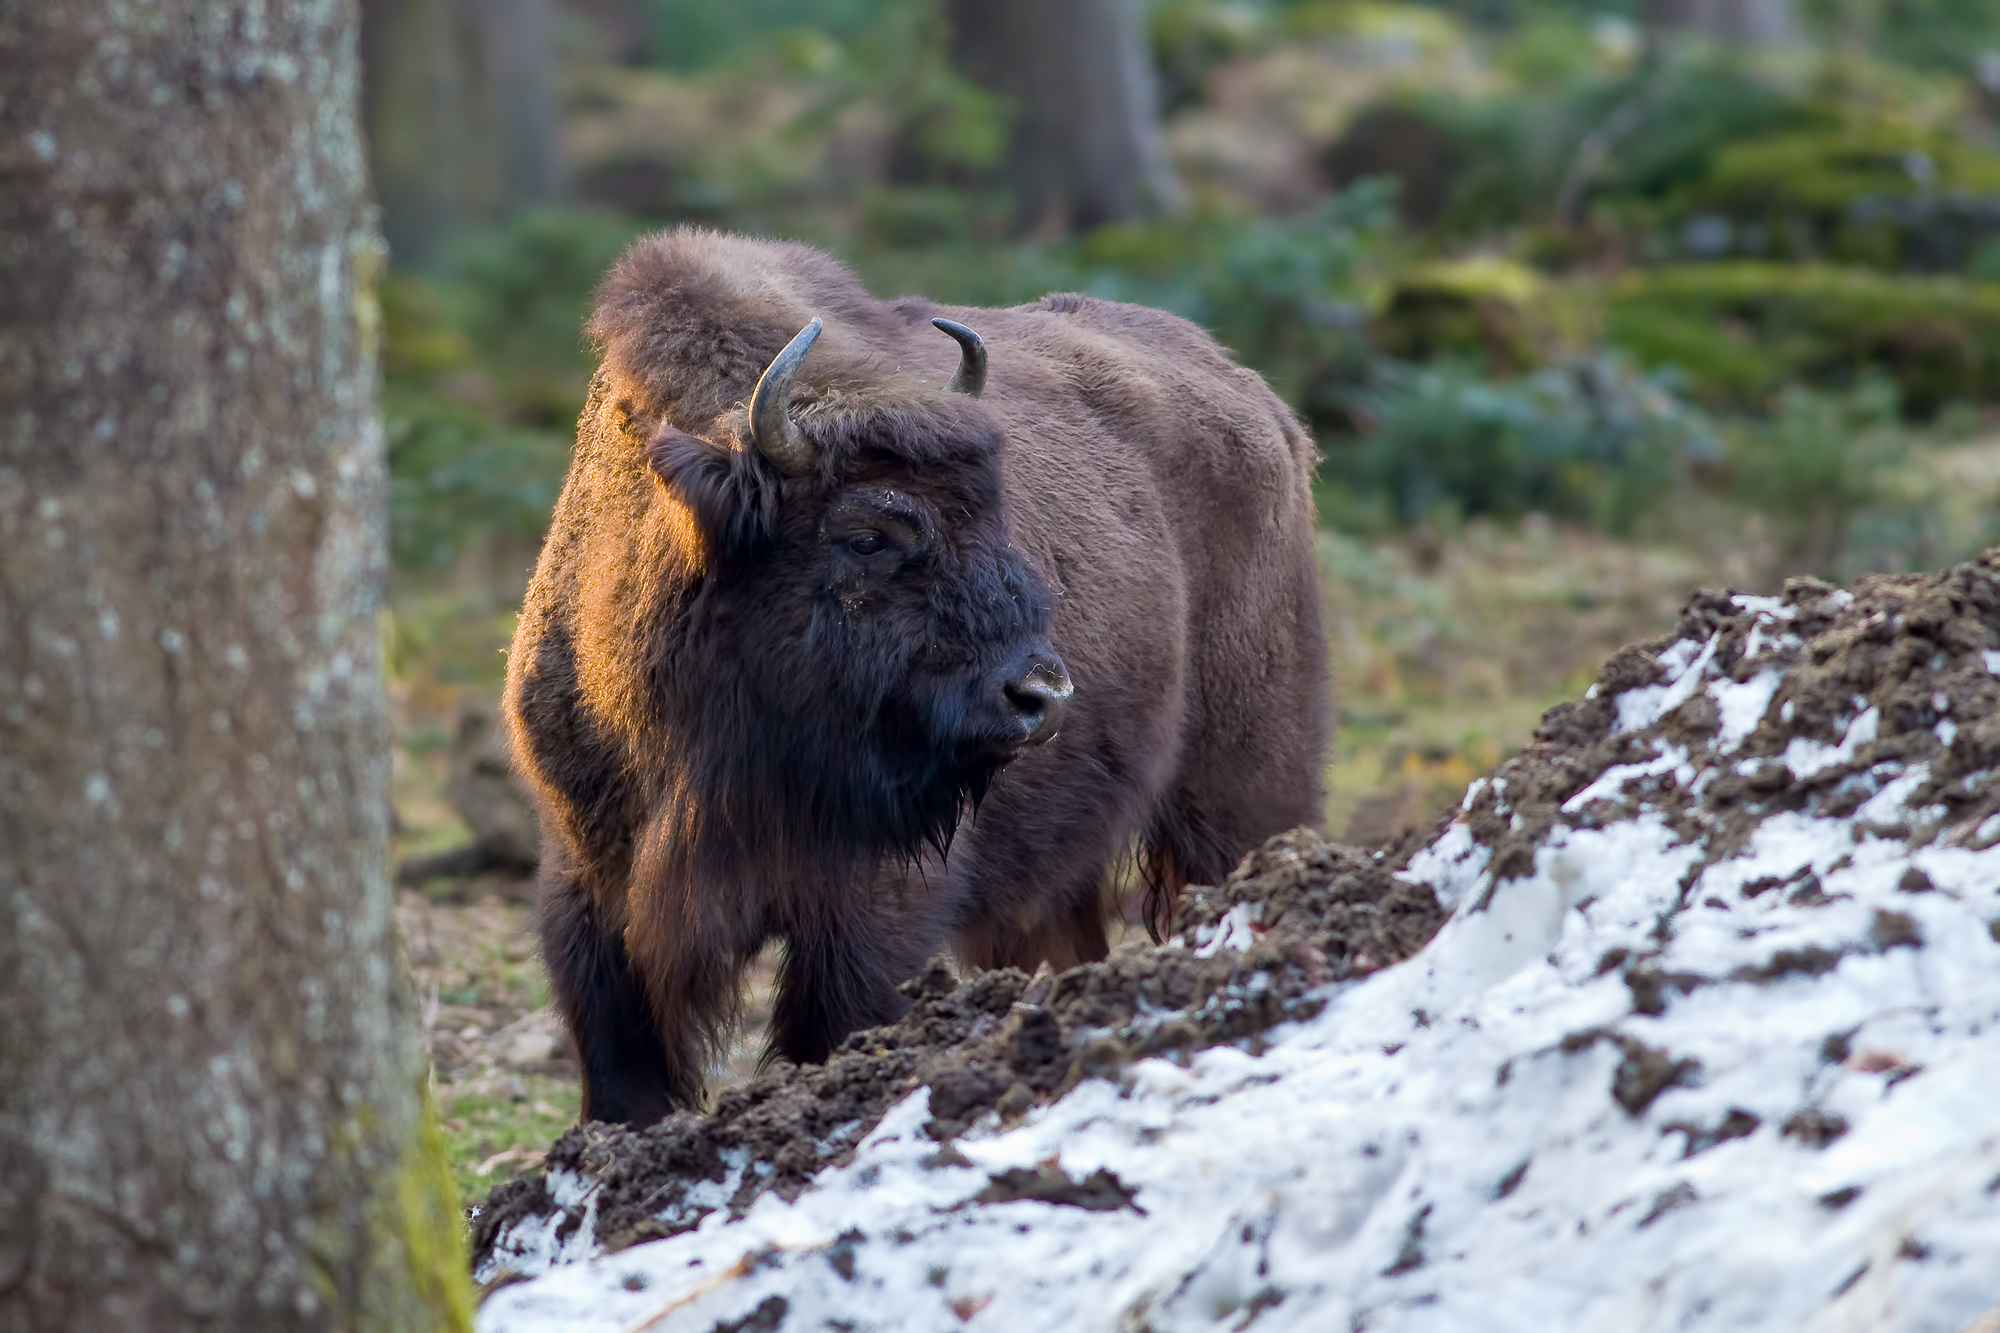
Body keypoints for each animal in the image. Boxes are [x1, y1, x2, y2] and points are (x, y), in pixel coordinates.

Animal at [506, 228, 1328, 1125]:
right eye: (868, 534)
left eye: (996, 514)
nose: (1039, 696)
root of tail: (1268, 412)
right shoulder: (589, 878)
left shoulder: (873, 898)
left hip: (1240, 796)